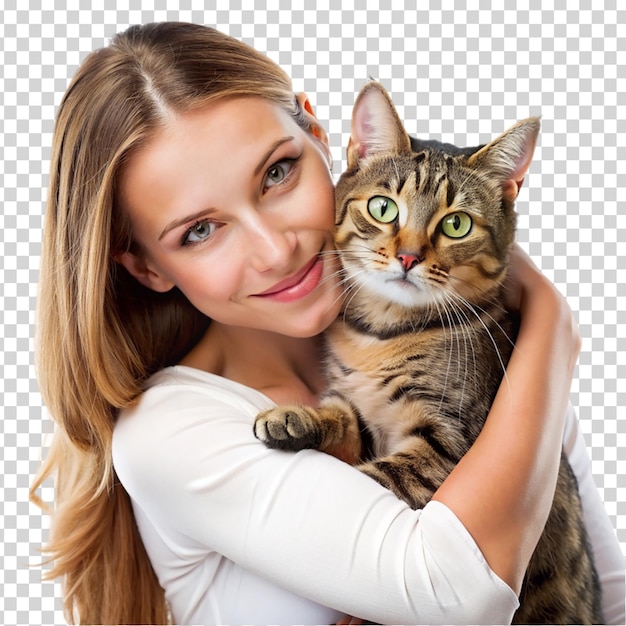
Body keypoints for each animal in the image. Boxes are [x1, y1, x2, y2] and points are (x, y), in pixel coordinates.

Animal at [254, 83, 600, 624]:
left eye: (456, 224)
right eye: (382, 208)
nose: (409, 256)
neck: (381, 333)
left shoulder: (446, 442)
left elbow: (373, 479)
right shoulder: (361, 414)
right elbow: (341, 419)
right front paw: (295, 417)